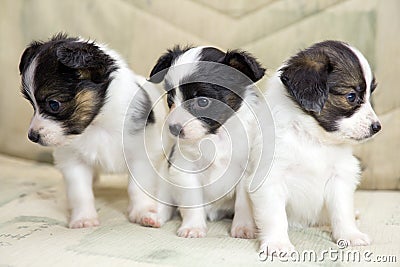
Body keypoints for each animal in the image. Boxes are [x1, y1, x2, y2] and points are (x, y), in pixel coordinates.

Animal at [18, 33, 166, 229]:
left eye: (54, 104)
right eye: (31, 104)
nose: (32, 136)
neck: (97, 124)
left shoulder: (140, 155)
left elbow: (138, 187)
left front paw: (143, 213)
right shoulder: (73, 161)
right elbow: (80, 193)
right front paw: (83, 218)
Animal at [148, 46, 266, 239]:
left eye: (202, 102)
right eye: (170, 100)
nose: (173, 128)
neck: (215, 136)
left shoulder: (246, 171)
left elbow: (243, 203)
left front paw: (244, 227)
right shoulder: (185, 170)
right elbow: (192, 201)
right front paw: (193, 227)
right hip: (165, 180)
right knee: (164, 201)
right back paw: (153, 216)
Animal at [250, 40, 382, 255]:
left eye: (370, 95)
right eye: (351, 96)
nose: (377, 127)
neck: (313, 138)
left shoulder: (340, 177)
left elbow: (342, 210)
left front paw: (350, 234)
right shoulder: (271, 179)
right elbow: (275, 216)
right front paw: (278, 243)